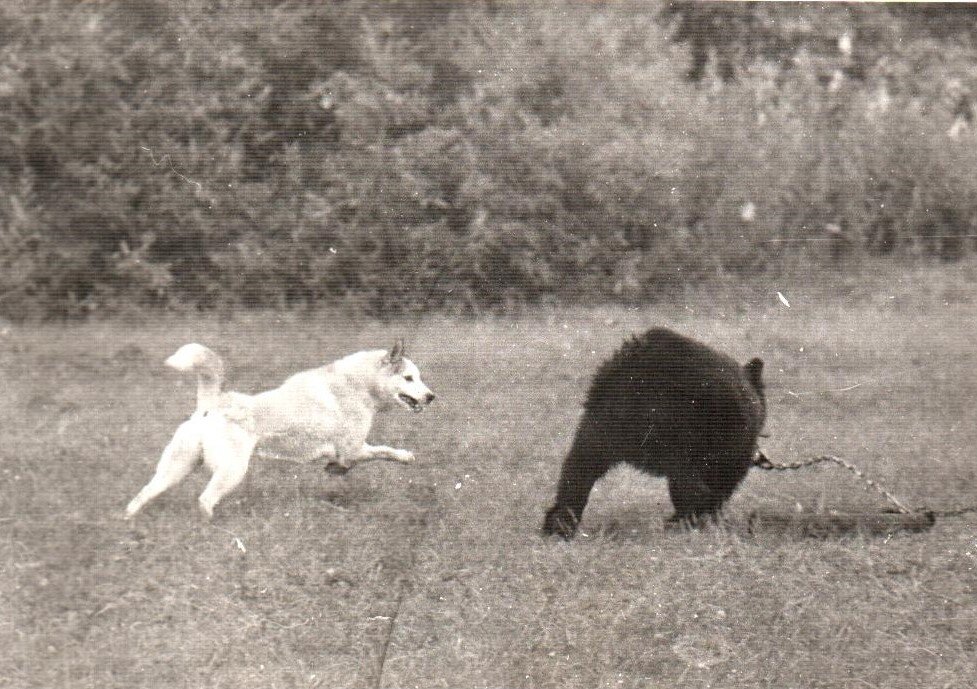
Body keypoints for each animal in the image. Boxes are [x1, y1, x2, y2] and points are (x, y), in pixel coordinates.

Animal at [123, 338, 434, 516]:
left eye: (418, 377)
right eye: (409, 378)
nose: (432, 396)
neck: (358, 385)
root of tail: (213, 404)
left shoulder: (350, 450)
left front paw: (334, 470)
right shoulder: (353, 448)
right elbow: (386, 451)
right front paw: (405, 457)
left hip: (176, 469)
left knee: (142, 495)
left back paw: (130, 523)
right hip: (232, 471)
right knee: (205, 499)